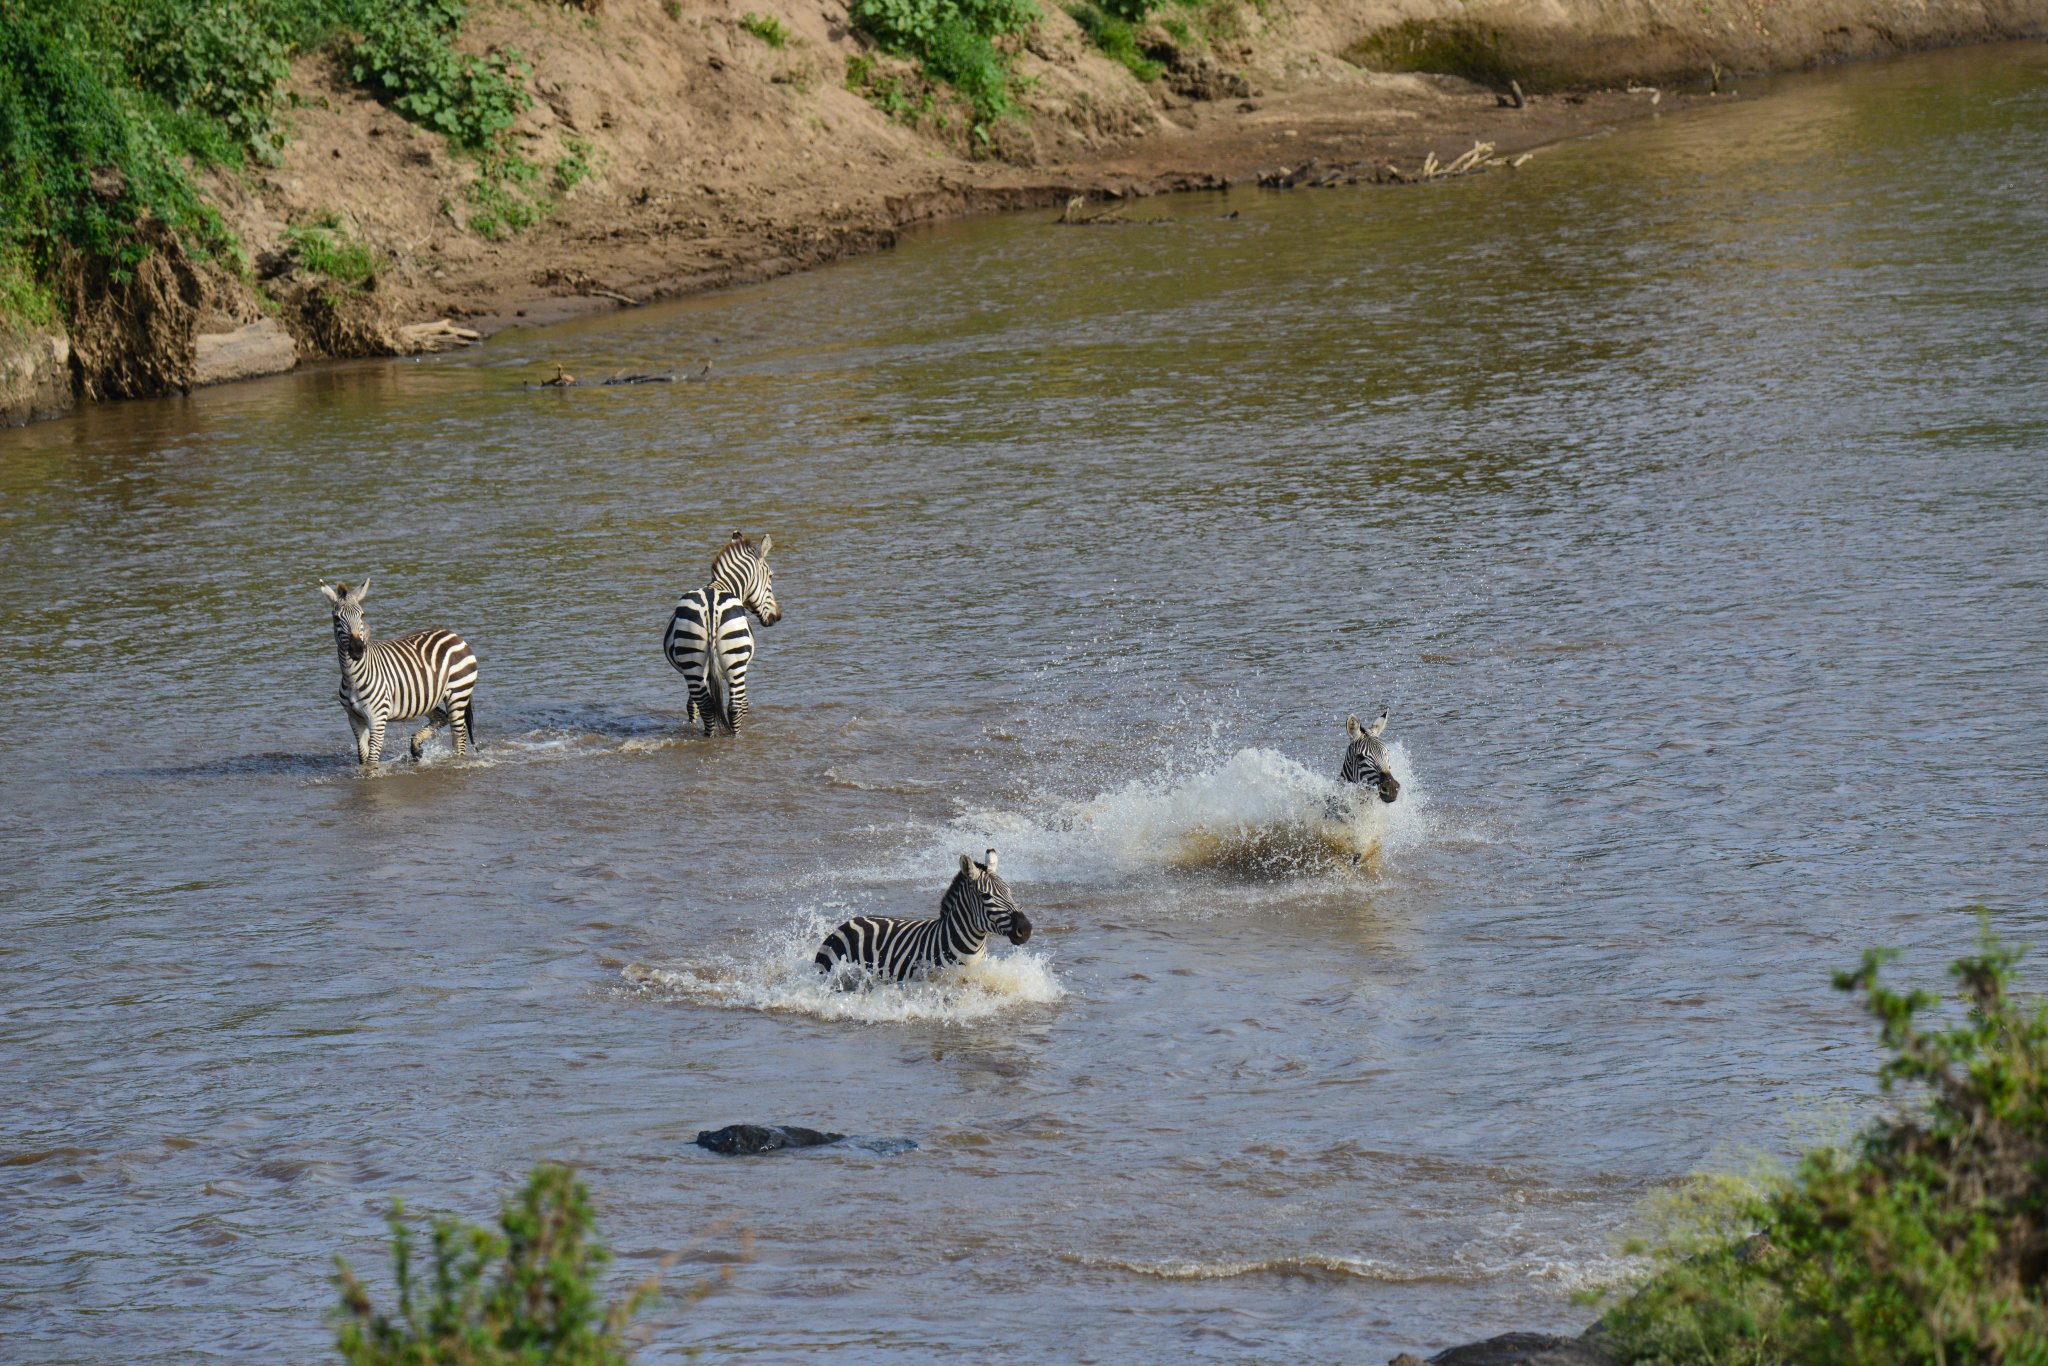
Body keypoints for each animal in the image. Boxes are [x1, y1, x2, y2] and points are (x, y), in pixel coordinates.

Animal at [317, 581, 477, 770]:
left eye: (362, 615)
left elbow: (371, 761)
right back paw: (416, 747)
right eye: (336, 618)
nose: (357, 650)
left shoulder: (377, 718)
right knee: (441, 717)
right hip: (425, 698)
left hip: (458, 693)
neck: (352, 677)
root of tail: (453, 634)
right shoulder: (354, 718)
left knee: (459, 739)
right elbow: (363, 758)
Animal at [663, 532, 782, 737]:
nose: (777, 617)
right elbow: (744, 705)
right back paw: (736, 736)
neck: (722, 585)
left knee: (706, 705)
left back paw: (708, 737)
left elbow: (691, 706)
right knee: (735, 706)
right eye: (771, 575)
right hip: (736, 663)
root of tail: (711, 607)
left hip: (692, 662)